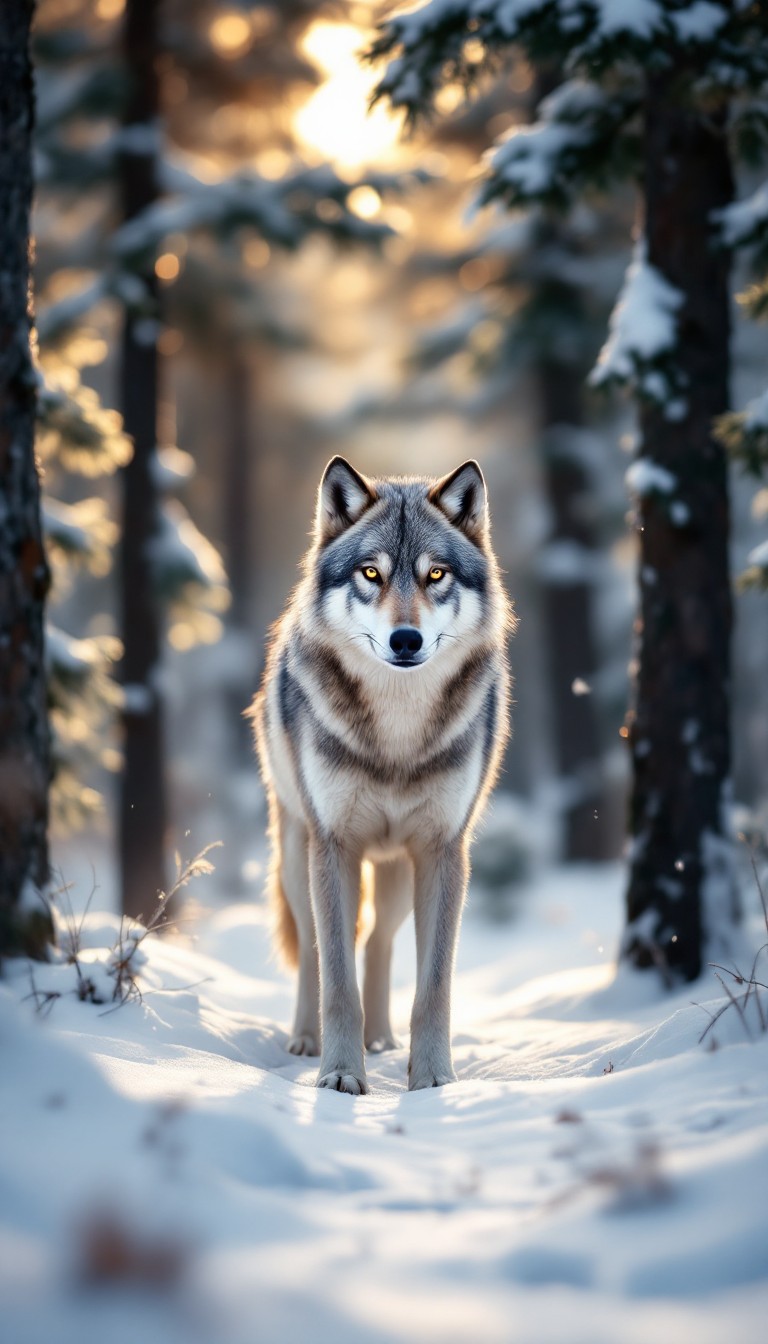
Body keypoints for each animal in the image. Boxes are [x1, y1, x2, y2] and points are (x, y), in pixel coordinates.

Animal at [250, 457, 513, 1094]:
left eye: (436, 574)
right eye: (371, 572)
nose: (406, 639)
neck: (397, 734)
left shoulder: (444, 852)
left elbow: (434, 987)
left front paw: (433, 1078)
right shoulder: (334, 847)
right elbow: (336, 981)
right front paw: (341, 1074)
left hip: (396, 874)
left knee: (376, 941)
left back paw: (382, 1040)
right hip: (298, 858)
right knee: (316, 950)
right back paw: (305, 1041)